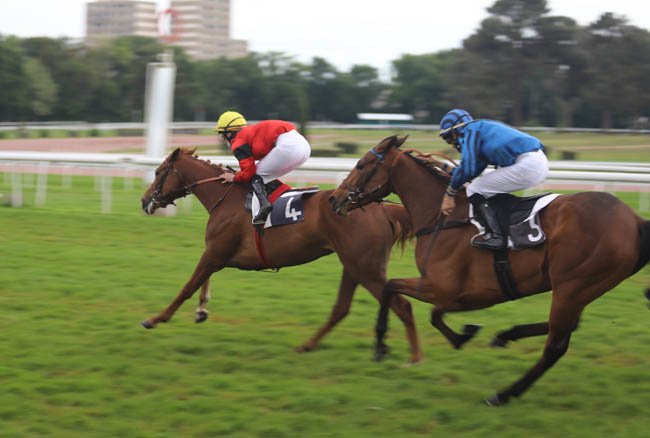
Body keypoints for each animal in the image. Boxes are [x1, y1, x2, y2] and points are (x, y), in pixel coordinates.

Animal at [139, 147, 423, 363]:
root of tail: (382, 209)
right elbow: (202, 281)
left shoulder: (215, 253)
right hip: (354, 265)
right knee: (341, 308)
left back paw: (415, 358)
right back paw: (307, 345)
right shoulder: (218, 255)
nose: (144, 201)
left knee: (402, 306)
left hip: (367, 268)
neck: (226, 198)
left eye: (158, 172)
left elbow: (187, 287)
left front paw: (155, 319)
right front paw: (201, 310)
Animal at [329, 135, 650, 405]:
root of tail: (635, 221)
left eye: (361, 164)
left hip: (574, 286)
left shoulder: (445, 287)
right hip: (577, 289)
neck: (442, 217)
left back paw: (504, 394)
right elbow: (427, 309)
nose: (334, 199)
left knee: (556, 346)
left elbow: (393, 288)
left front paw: (381, 346)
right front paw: (464, 334)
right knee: (566, 326)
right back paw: (506, 336)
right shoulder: (459, 294)